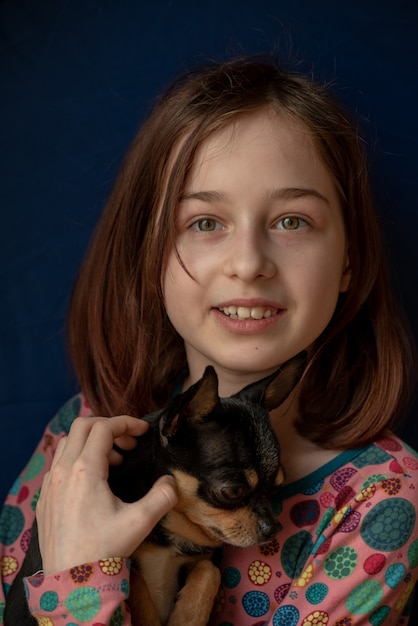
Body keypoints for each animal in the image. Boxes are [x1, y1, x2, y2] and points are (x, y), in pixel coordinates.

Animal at [4, 352, 306, 624]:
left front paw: (187, 617)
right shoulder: (126, 559)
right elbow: (134, 581)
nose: (273, 527)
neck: (173, 528)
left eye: (276, 488)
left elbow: (210, 572)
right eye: (232, 491)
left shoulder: (205, 559)